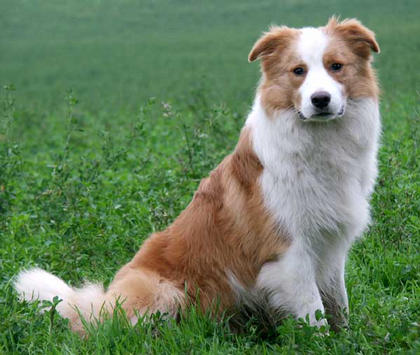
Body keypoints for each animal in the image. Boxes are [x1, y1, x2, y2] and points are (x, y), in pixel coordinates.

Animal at [13, 16, 380, 334]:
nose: (321, 100)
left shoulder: (331, 248)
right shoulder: (290, 253)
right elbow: (314, 314)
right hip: (164, 291)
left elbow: (339, 304)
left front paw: (348, 338)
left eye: (336, 66)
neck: (320, 143)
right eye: (298, 71)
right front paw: (324, 343)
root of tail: (101, 303)